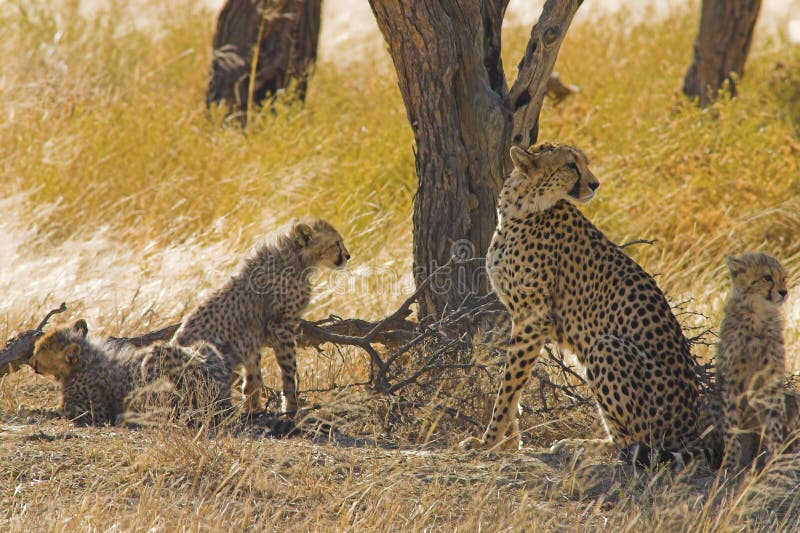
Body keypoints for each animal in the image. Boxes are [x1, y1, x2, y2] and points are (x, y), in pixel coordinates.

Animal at [173, 217, 348, 416]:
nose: (348, 256)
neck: (297, 257)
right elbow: (289, 369)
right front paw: (291, 408)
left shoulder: (252, 337)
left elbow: (253, 377)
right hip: (204, 352)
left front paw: (254, 409)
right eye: (336, 243)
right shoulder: (281, 326)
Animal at [462, 143, 700, 460]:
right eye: (570, 165)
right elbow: (511, 381)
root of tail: (692, 429)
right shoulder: (517, 313)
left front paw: (488, 441)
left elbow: (509, 383)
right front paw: (508, 441)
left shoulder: (533, 316)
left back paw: (579, 446)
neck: (519, 207)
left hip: (605, 346)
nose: (595, 184)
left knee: (632, 442)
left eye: (584, 162)